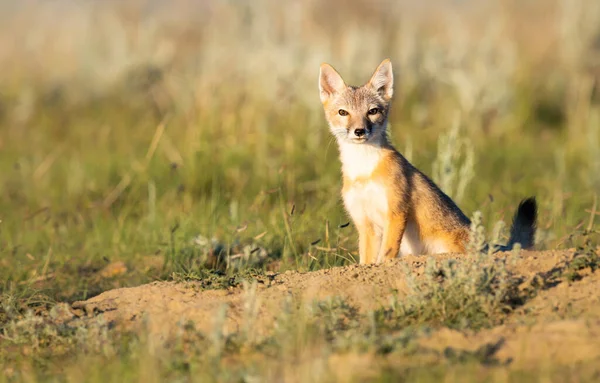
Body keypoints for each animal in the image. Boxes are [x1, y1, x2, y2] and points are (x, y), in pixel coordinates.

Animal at [318, 58, 540, 266]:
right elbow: (366, 261)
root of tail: (485, 246)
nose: (359, 131)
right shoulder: (365, 224)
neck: (363, 171)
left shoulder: (396, 212)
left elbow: (386, 256)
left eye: (372, 111)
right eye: (343, 112)